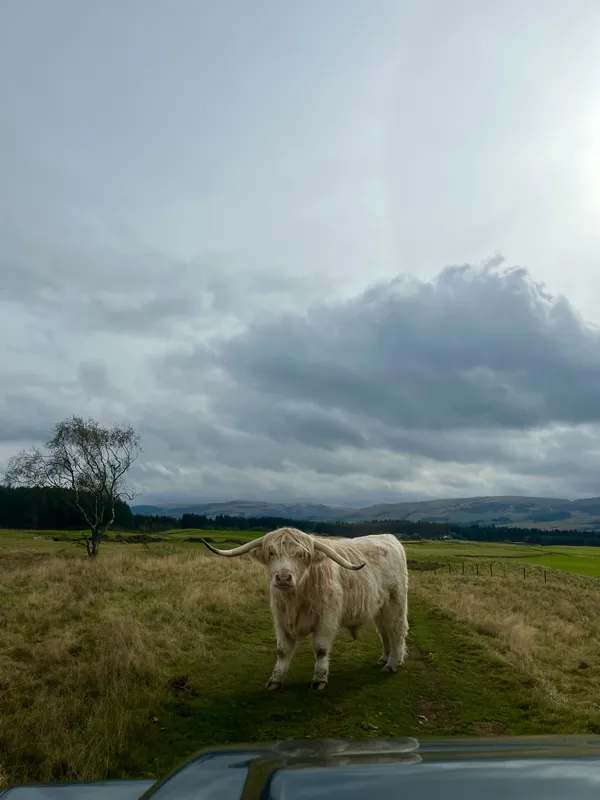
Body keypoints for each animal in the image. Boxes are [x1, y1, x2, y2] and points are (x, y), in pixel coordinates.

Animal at [202, 528, 408, 692]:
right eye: (271, 552)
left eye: (301, 555)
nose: (283, 578)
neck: (296, 600)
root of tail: (389, 538)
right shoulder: (281, 619)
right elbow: (283, 651)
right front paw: (275, 680)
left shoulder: (326, 620)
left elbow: (321, 649)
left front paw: (319, 680)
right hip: (380, 608)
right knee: (384, 631)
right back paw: (385, 658)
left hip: (396, 602)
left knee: (396, 630)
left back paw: (392, 664)